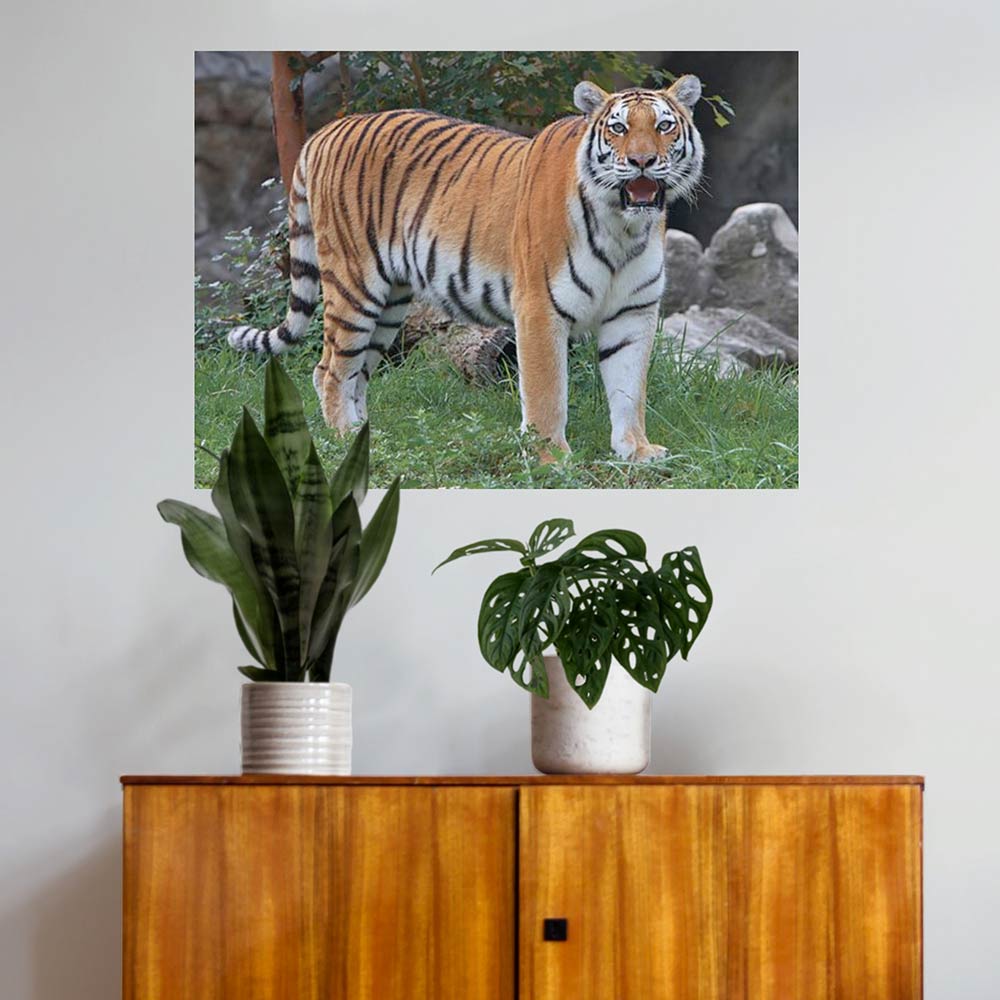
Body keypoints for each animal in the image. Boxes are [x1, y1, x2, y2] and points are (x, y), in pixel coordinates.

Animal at [228, 75, 705, 462]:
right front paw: (551, 456)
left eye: (663, 126)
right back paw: (344, 437)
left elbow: (629, 388)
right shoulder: (538, 308)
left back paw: (369, 437)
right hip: (353, 286)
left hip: (389, 305)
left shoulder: (633, 314)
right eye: (618, 128)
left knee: (357, 370)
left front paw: (636, 450)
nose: (642, 161)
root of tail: (326, 131)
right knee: (329, 369)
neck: (625, 227)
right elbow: (547, 391)